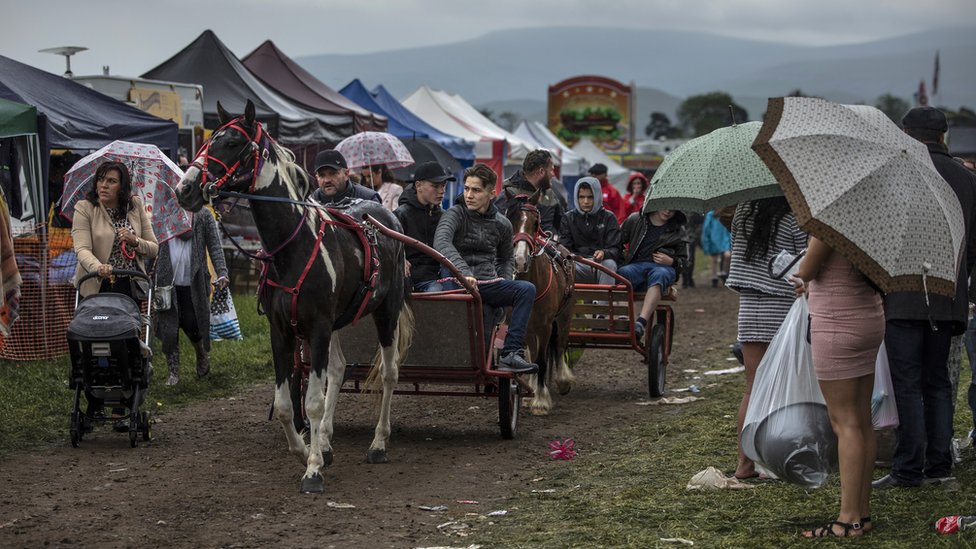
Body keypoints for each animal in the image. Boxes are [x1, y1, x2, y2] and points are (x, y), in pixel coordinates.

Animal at [175, 99, 412, 492]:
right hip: (337, 322)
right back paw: (326, 440)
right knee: (337, 369)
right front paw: (307, 450)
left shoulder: (316, 328)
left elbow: (312, 401)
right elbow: (286, 404)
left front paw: (313, 469)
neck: (293, 246)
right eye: (209, 140)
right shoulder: (283, 330)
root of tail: (385, 218)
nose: (185, 189)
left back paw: (379, 443)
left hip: (385, 311)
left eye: (230, 143)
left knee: (390, 373)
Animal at [500, 186, 576, 414]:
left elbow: (542, 361)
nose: (520, 260)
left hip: (564, 317)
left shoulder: (545, 327)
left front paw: (541, 401)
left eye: (535, 223)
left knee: (559, 346)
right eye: (510, 218)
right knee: (534, 353)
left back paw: (563, 380)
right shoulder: (523, 325)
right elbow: (533, 360)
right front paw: (532, 394)